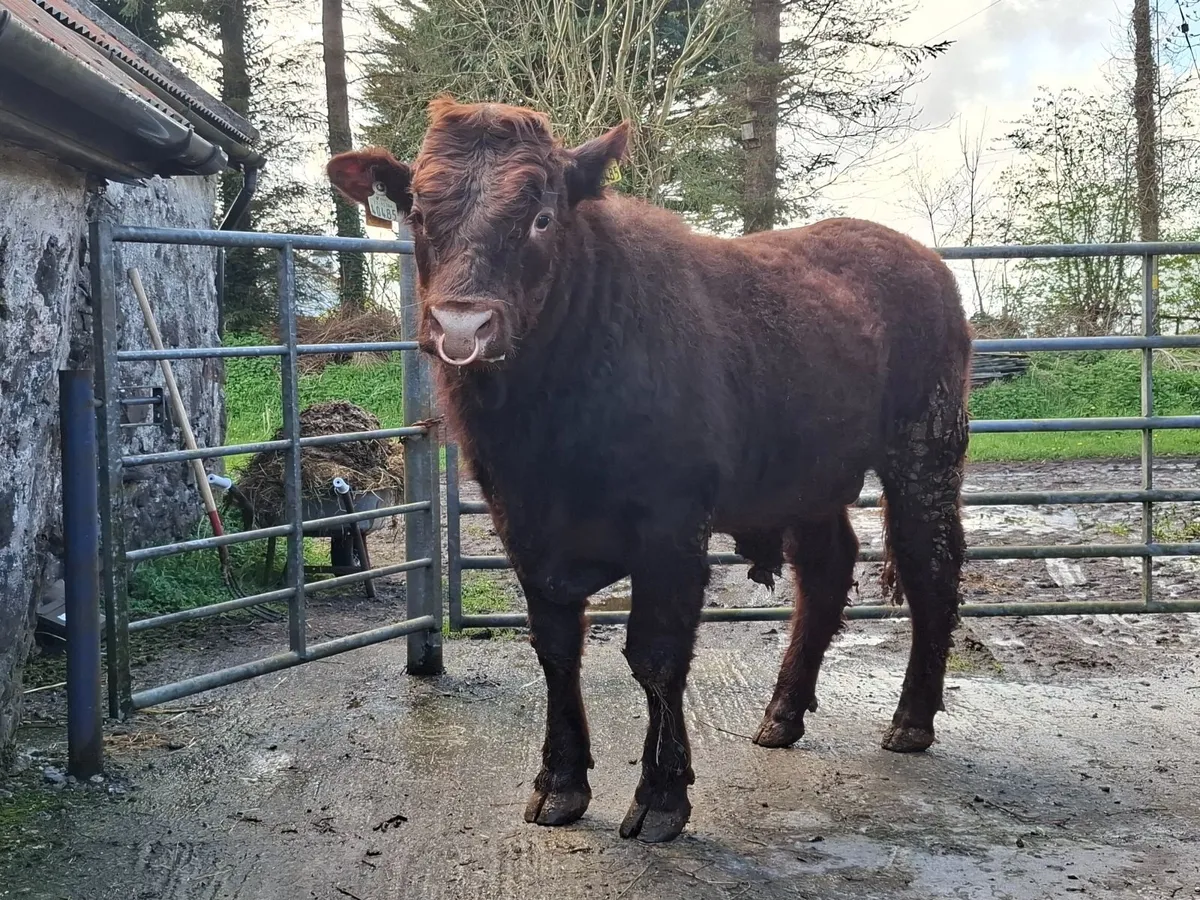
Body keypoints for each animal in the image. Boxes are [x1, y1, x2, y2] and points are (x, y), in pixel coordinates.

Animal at [327, 97, 972, 844]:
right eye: (421, 215)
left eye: (541, 216)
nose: (463, 327)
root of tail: (919, 256)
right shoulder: (521, 522)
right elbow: (556, 647)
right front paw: (559, 784)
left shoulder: (671, 525)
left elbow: (656, 653)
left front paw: (662, 795)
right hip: (807, 477)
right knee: (826, 572)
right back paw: (781, 715)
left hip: (926, 452)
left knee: (930, 568)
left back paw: (911, 721)